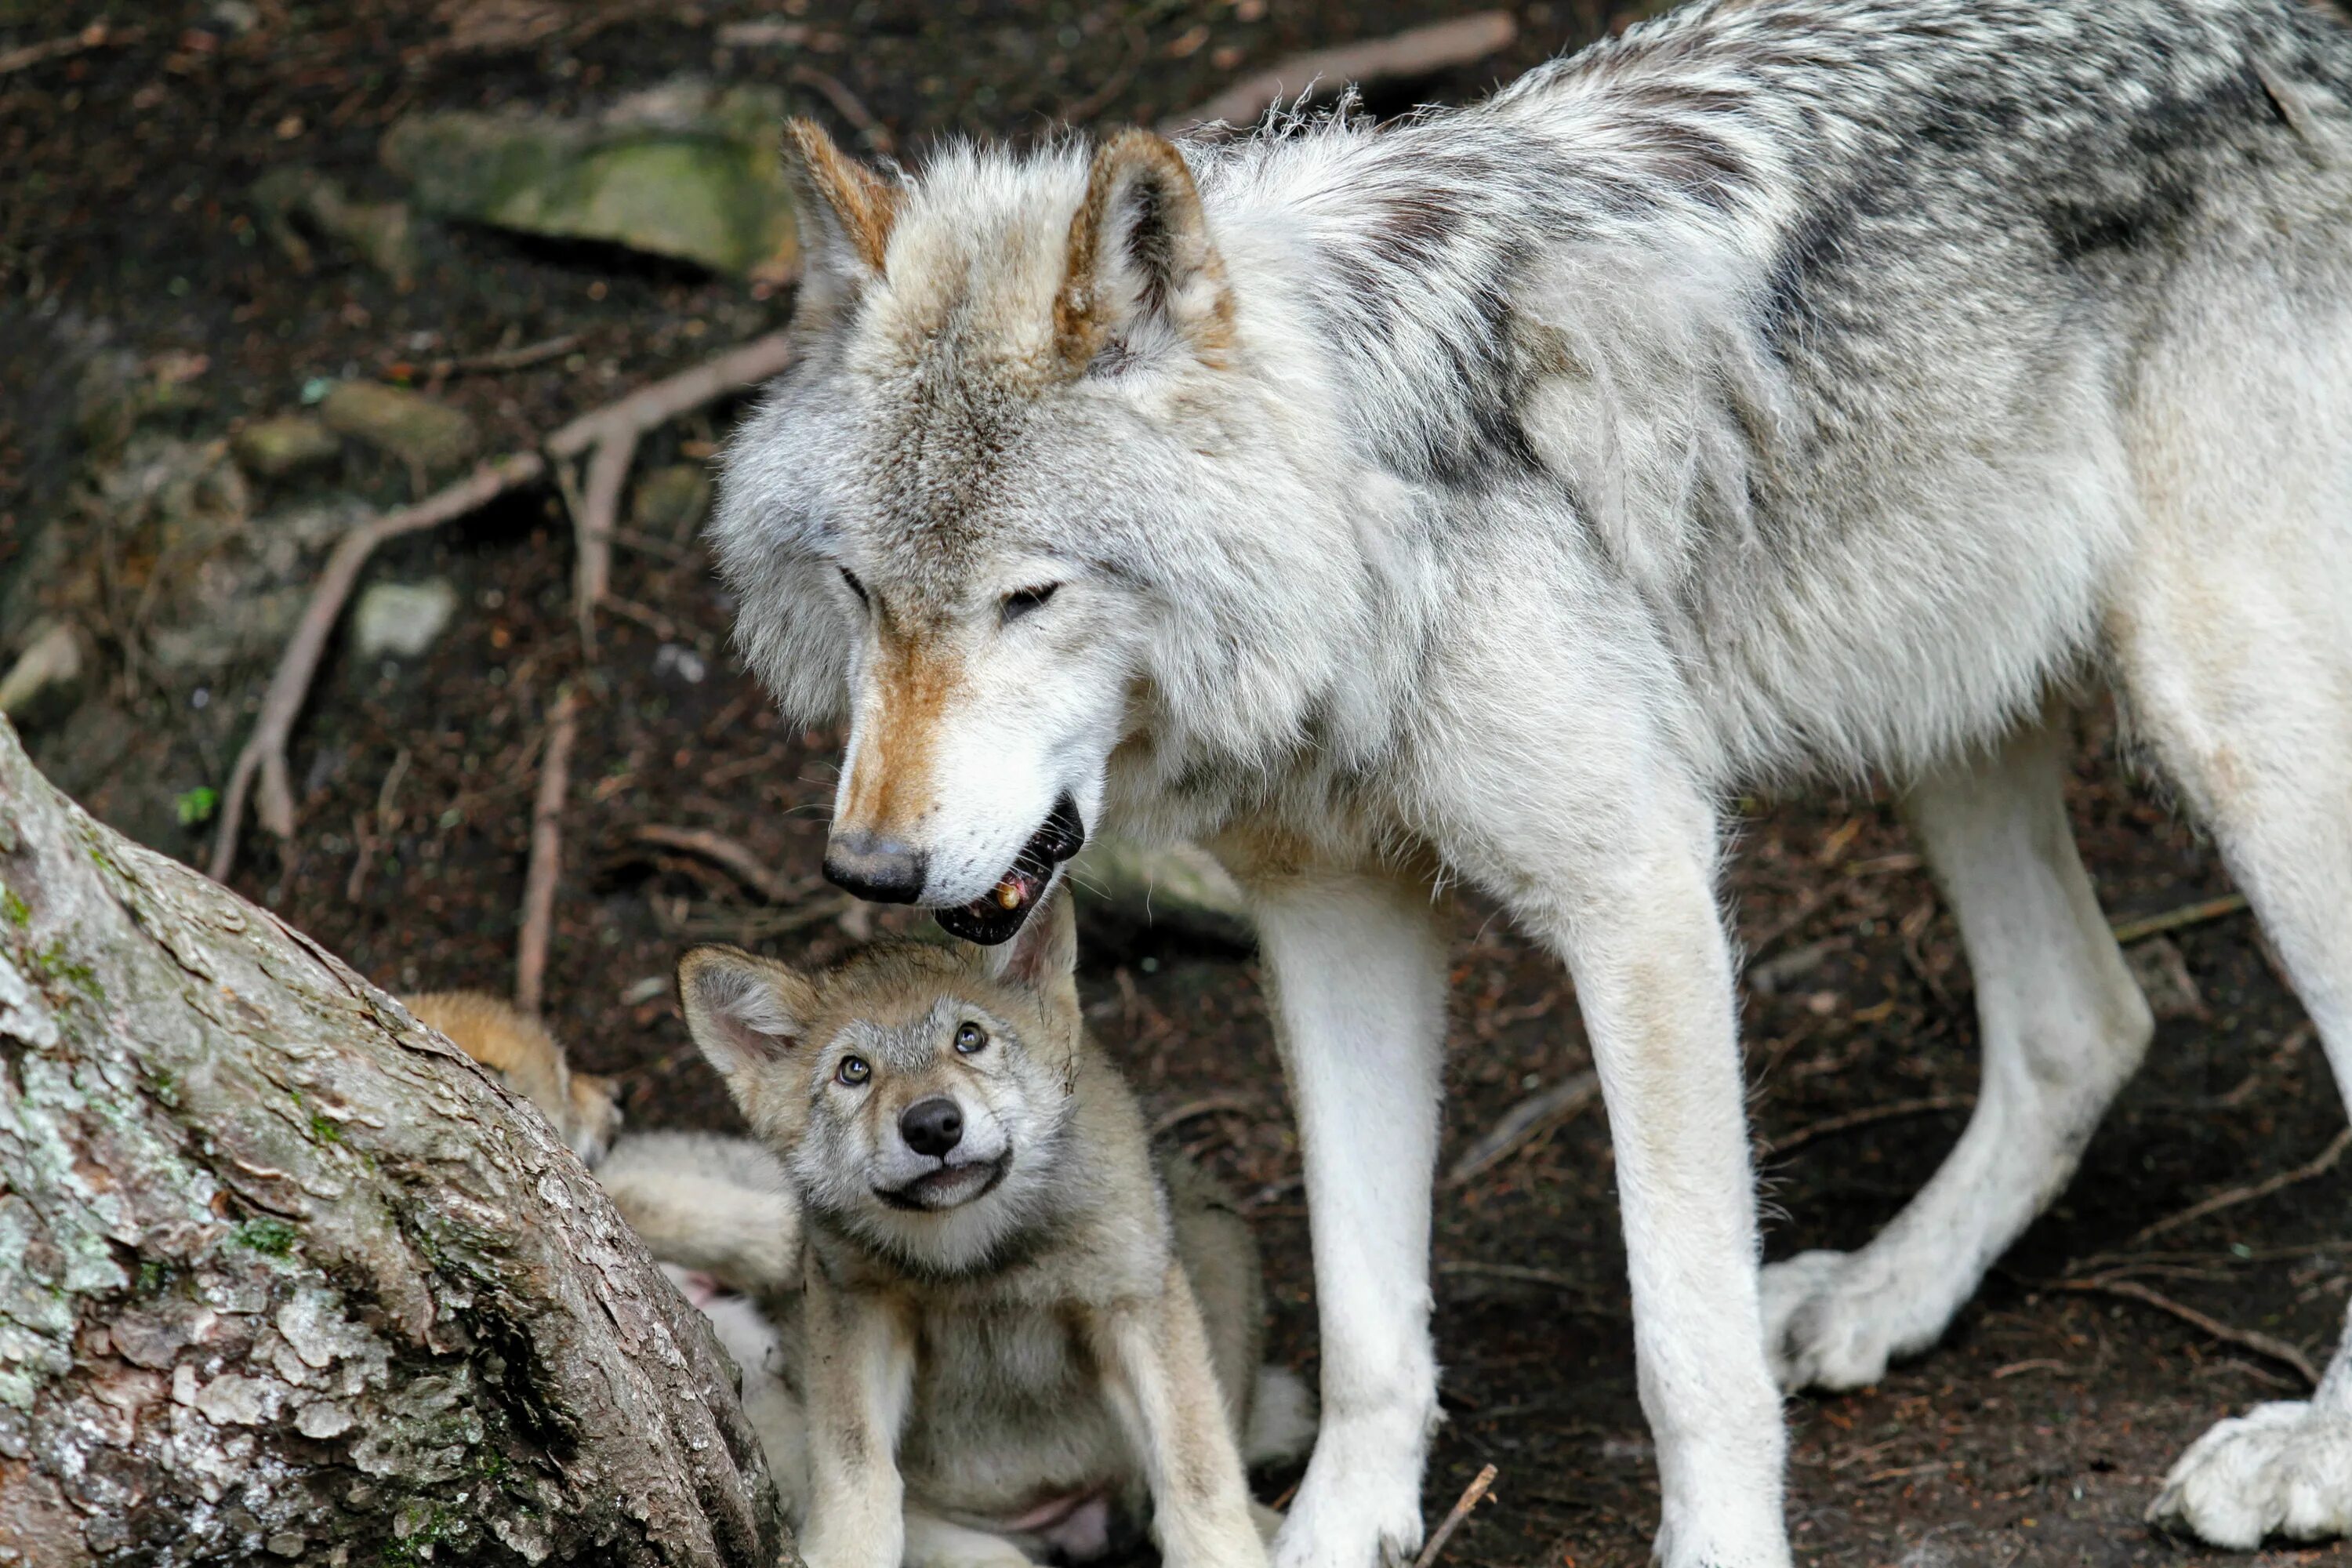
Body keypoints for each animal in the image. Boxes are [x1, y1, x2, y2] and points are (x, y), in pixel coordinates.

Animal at [673, 893, 1317, 1568]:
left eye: (969, 1038)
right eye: (854, 1071)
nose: (932, 1125)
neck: (976, 1256)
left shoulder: (1132, 1298)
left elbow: (1198, 1473)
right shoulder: (856, 1304)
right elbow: (855, 1466)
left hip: (1214, 1237)